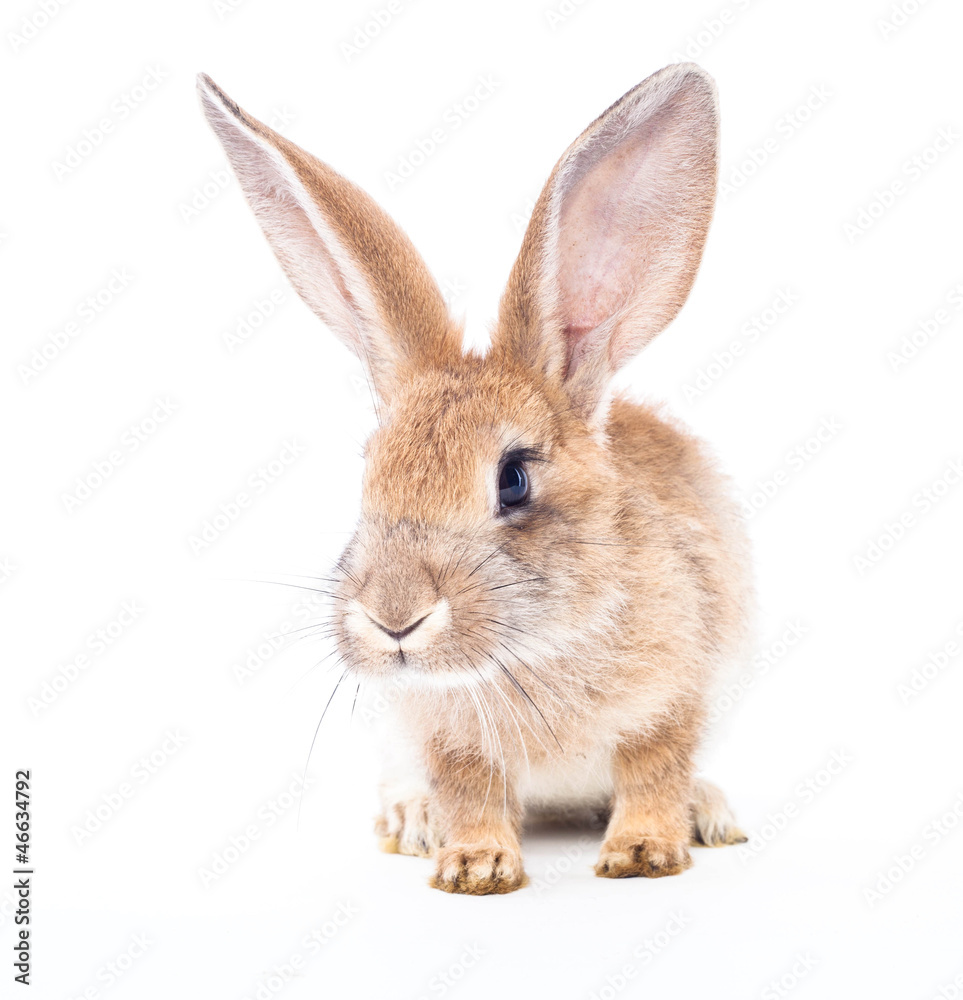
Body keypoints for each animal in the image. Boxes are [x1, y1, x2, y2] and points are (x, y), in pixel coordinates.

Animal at [198, 61, 753, 895]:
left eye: (513, 479)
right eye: (369, 474)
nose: (393, 620)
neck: (536, 647)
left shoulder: (673, 699)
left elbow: (652, 772)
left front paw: (643, 853)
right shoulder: (445, 733)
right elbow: (468, 789)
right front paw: (472, 865)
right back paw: (411, 822)